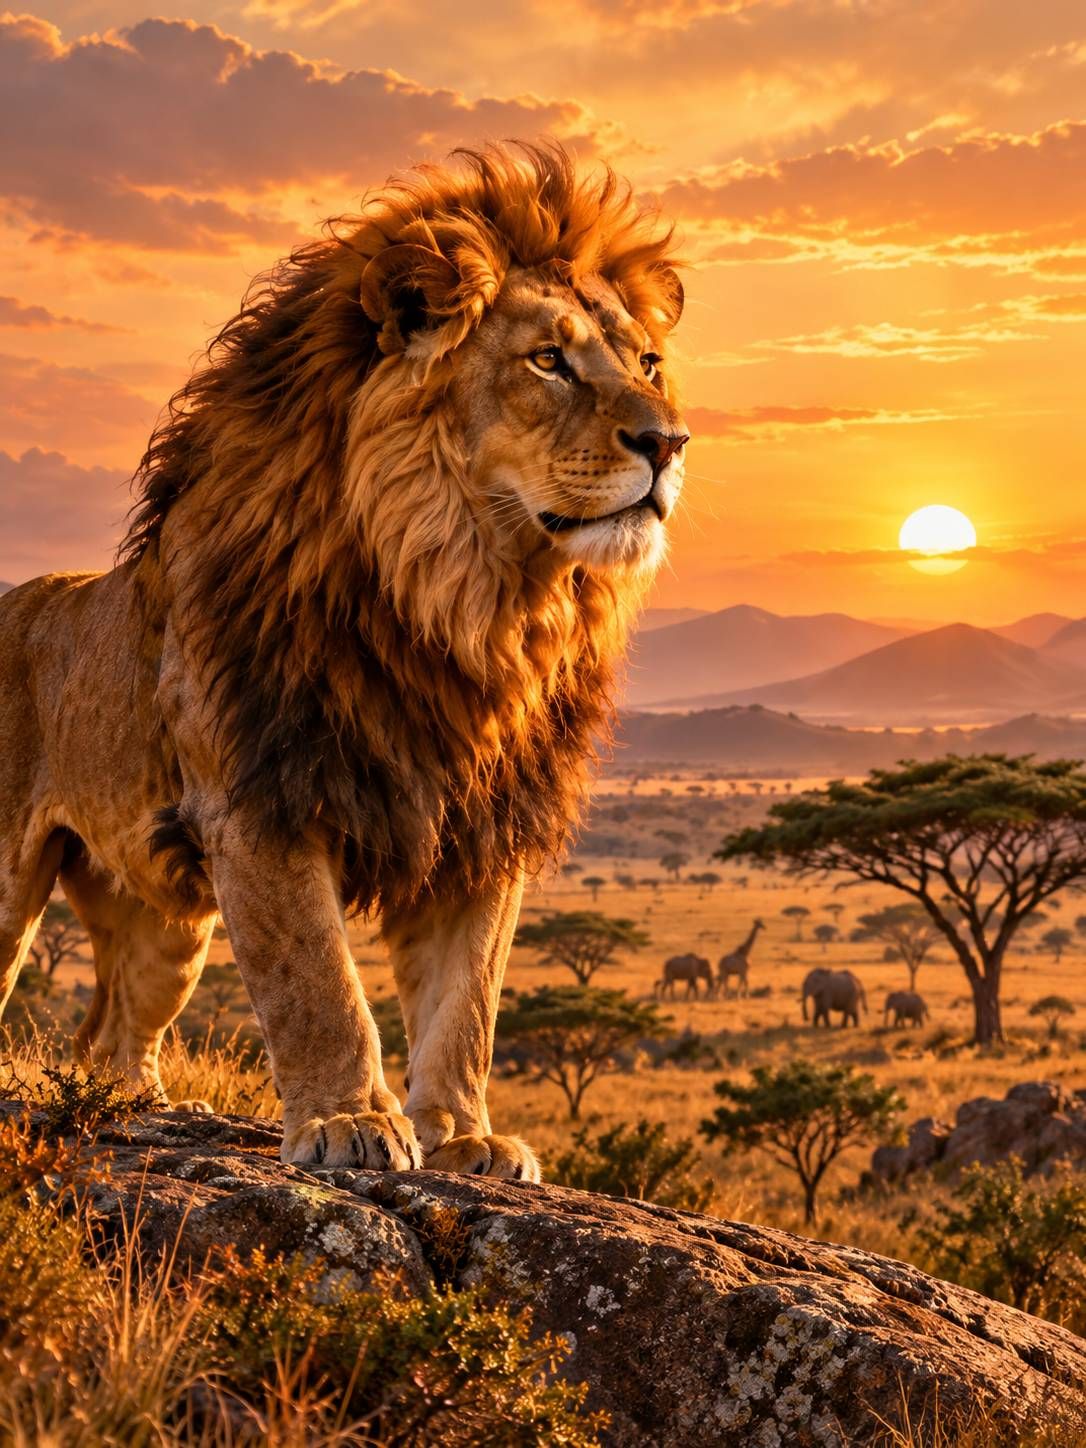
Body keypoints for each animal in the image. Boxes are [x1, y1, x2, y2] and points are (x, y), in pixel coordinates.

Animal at [0, 143, 687, 1178]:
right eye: (548, 360)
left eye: (647, 362)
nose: (669, 440)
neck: (465, 603)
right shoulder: (261, 796)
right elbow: (317, 981)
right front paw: (350, 1122)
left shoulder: (482, 823)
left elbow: (467, 1002)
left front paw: (467, 1137)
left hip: (165, 926)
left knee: (108, 1035)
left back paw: (137, 1106)